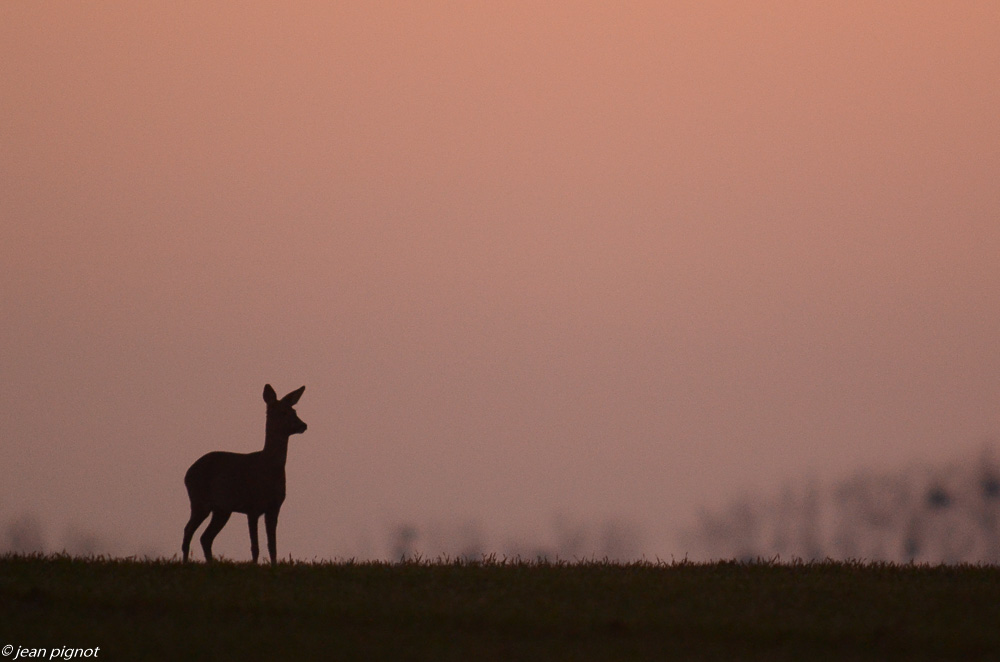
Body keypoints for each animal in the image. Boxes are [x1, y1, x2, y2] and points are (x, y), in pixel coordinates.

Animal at [180, 384, 304, 564]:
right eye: (283, 412)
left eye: (294, 411)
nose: (303, 425)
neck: (267, 467)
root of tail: (187, 473)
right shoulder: (252, 507)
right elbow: (255, 547)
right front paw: (254, 566)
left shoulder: (274, 507)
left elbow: (272, 545)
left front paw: (274, 566)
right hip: (199, 500)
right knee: (188, 530)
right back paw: (185, 562)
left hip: (222, 509)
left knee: (205, 537)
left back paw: (210, 563)